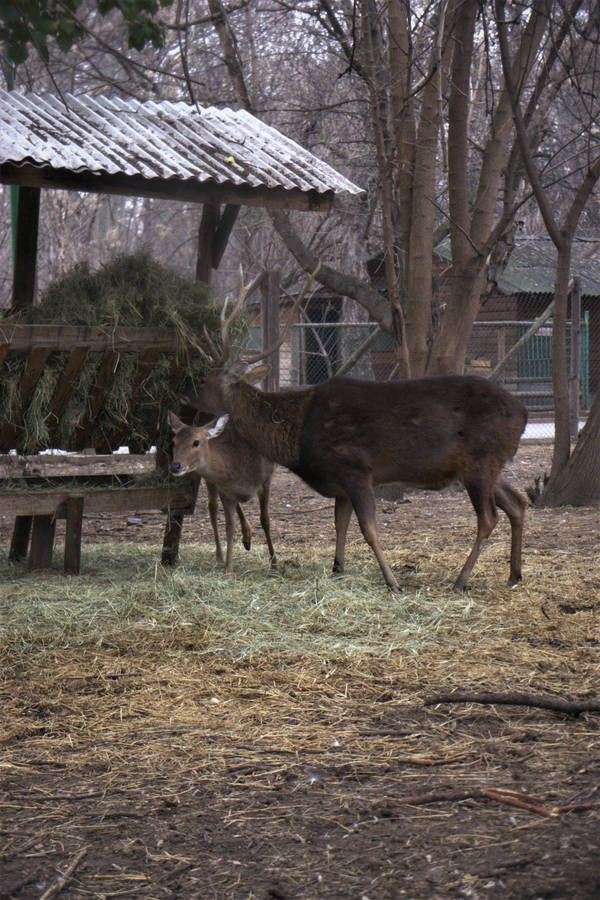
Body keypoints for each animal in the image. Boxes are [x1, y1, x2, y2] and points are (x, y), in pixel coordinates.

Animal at [169, 412, 276, 572]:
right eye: (173, 442)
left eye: (196, 442)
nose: (175, 466)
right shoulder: (225, 490)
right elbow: (229, 526)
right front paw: (228, 569)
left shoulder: (266, 480)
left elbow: (265, 520)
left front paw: (274, 563)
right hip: (210, 481)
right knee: (212, 509)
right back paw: (222, 554)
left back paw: (247, 537)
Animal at [185, 278, 528, 596]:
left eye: (202, 381)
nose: (186, 401)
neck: (299, 436)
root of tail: (523, 412)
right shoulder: (340, 484)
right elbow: (340, 524)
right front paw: (338, 567)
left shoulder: (355, 468)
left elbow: (368, 529)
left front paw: (392, 582)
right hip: (487, 465)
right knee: (518, 502)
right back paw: (514, 575)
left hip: (480, 462)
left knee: (489, 518)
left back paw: (461, 580)